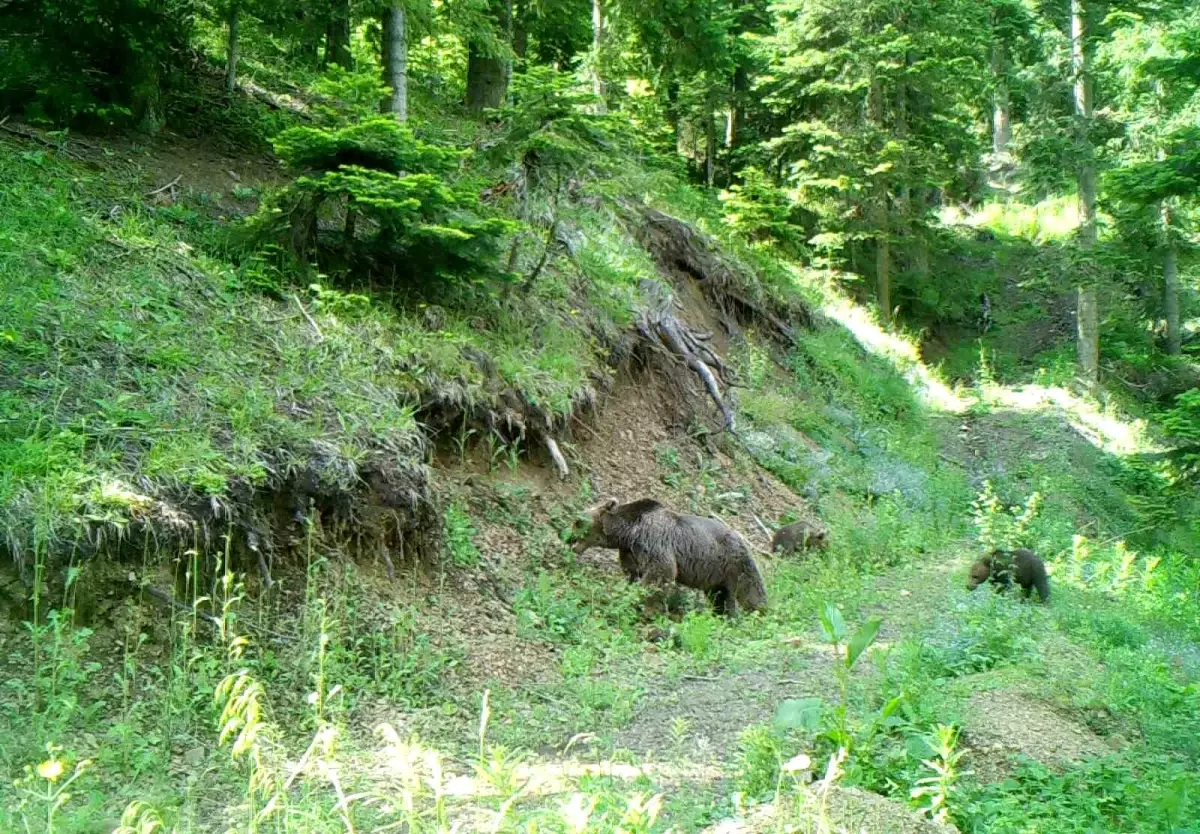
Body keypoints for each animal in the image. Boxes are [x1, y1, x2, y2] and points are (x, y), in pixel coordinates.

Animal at [571, 499, 768, 614]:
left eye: (577, 522)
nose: (569, 538)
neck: (629, 532)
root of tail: (740, 536)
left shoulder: (654, 540)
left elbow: (660, 572)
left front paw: (647, 607)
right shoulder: (631, 551)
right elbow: (633, 573)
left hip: (733, 562)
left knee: (750, 589)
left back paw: (760, 612)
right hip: (716, 574)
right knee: (721, 596)